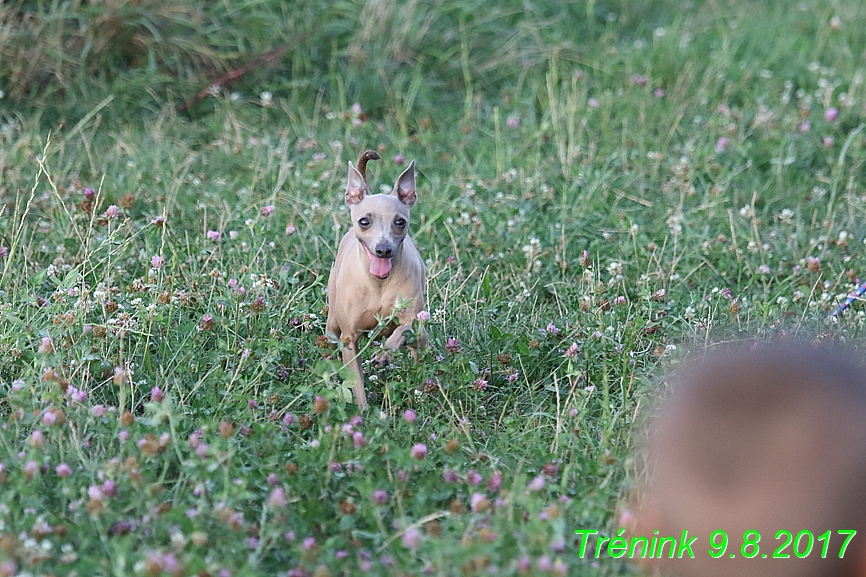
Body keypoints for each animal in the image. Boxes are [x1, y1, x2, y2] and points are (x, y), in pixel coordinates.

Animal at [326, 150, 426, 410]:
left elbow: (402, 331)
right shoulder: (349, 339)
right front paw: (363, 411)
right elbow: (357, 382)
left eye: (400, 222)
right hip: (332, 325)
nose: (383, 250)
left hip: (421, 336)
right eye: (364, 221)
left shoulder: (410, 318)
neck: (378, 284)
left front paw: (384, 355)